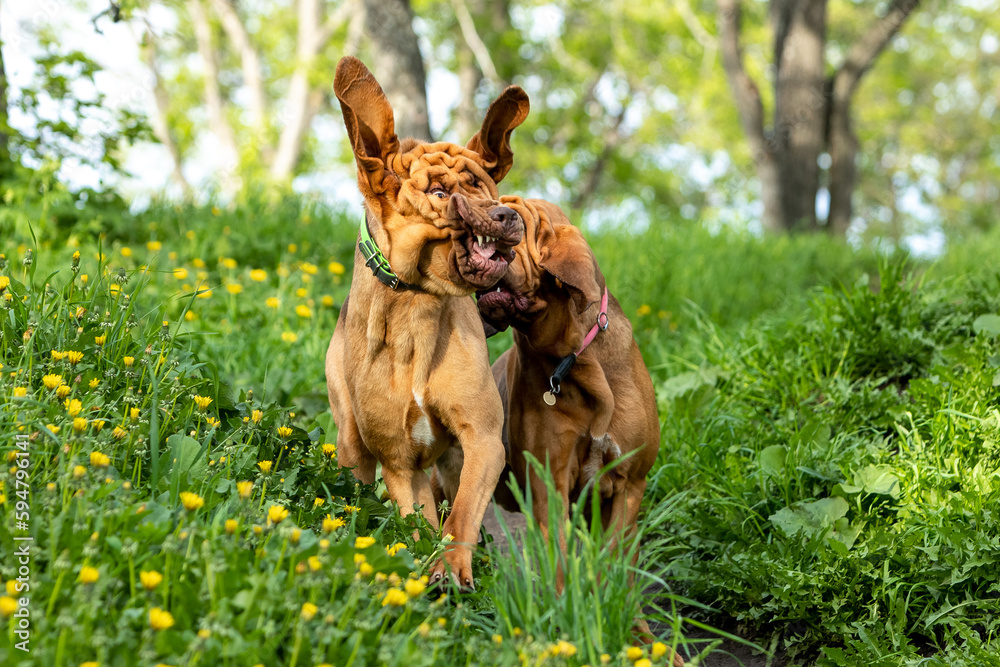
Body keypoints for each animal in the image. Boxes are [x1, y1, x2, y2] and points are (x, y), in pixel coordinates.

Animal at [328, 58, 532, 588]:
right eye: (439, 192)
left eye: (485, 186)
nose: (508, 216)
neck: (416, 308)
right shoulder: (400, 461)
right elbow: (419, 522)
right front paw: (428, 563)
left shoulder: (481, 440)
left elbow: (460, 516)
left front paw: (453, 566)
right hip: (351, 444)